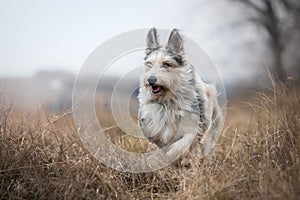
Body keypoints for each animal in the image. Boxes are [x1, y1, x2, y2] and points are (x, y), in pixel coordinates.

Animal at [138, 27, 223, 162]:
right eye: (149, 64)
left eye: (166, 64)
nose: (150, 80)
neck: (167, 100)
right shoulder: (154, 127)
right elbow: (159, 141)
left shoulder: (193, 126)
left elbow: (182, 143)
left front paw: (176, 156)